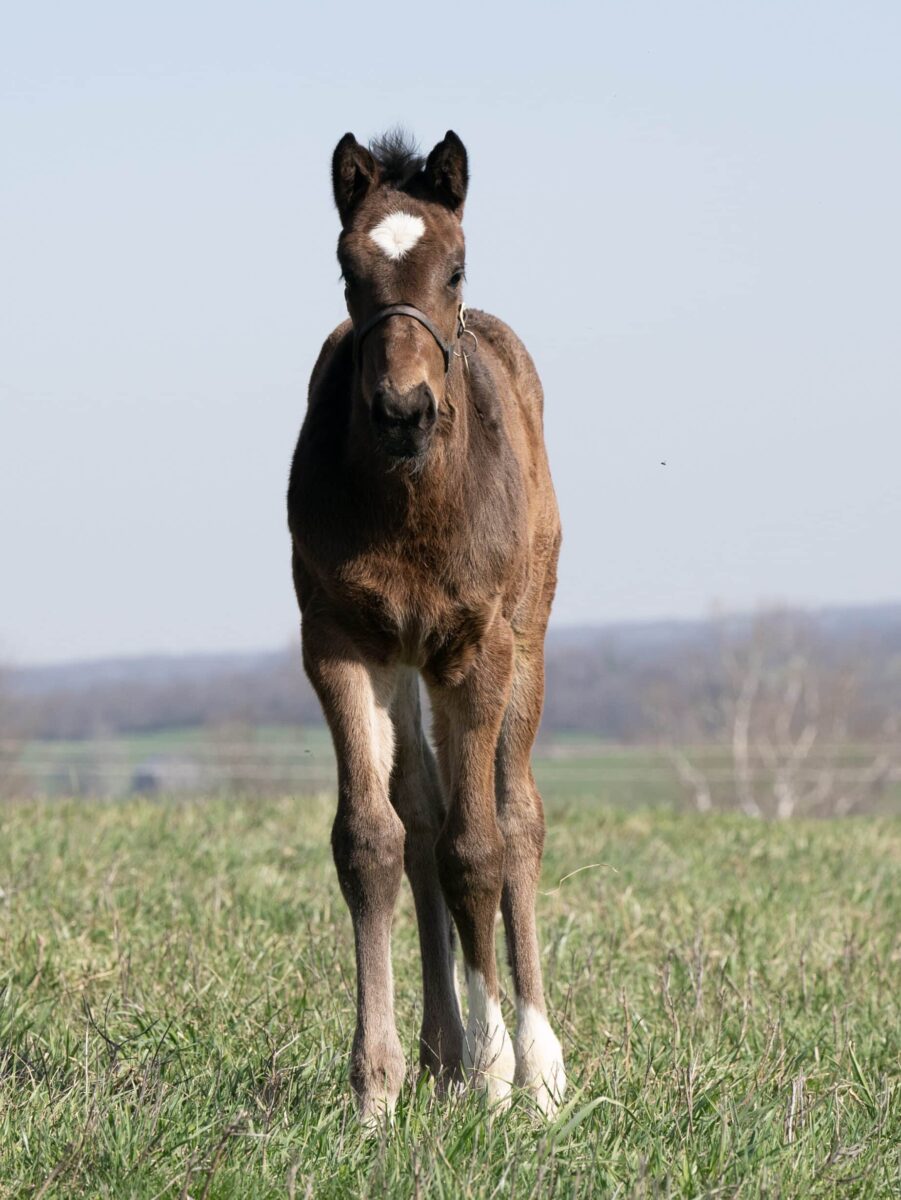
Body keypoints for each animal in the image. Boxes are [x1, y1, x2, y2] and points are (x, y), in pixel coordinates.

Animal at [289, 131, 566, 1123]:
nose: (403, 411)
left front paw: (495, 1073)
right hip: (407, 666)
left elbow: (475, 848)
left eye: (455, 266)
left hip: (523, 640)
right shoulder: (338, 644)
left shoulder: (475, 651)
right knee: (419, 813)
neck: (410, 505)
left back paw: (536, 1060)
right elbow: (373, 841)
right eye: (346, 268)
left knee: (514, 816)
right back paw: (441, 1052)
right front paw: (375, 1088)